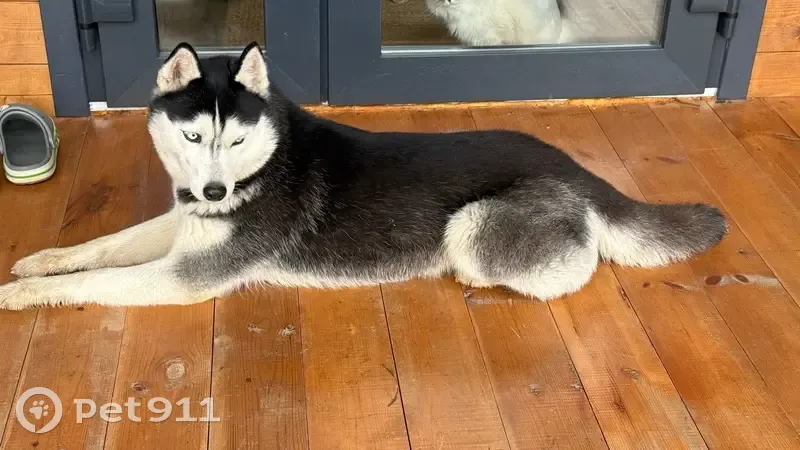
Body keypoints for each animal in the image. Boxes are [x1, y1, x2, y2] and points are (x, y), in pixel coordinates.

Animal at [0, 42, 727, 310]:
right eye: (193, 137)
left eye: (236, 139)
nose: (213, 191)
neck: (264, 165)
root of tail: (574, 166)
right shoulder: (183, 225)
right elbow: (99, 247)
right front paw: (40, 261)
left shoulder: (187, 274)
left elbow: (96, 280)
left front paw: (22, 295)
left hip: (475, 227)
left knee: (577, 263)